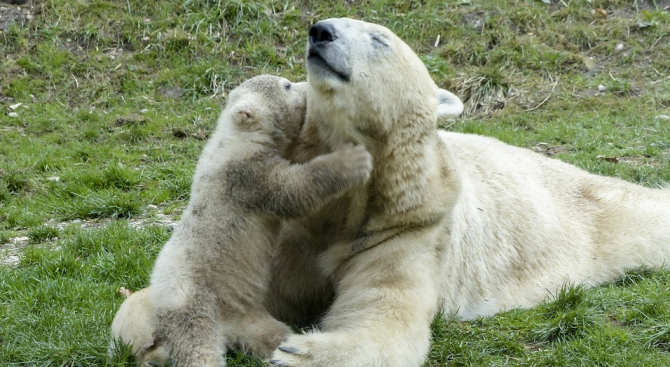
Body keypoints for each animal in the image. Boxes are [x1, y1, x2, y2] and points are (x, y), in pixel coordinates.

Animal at [268, 18, 670, 367]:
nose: (321, 31)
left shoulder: (408, 226)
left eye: (379, 40)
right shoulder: (293, 223)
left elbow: (388, 318)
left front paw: (298, 352)